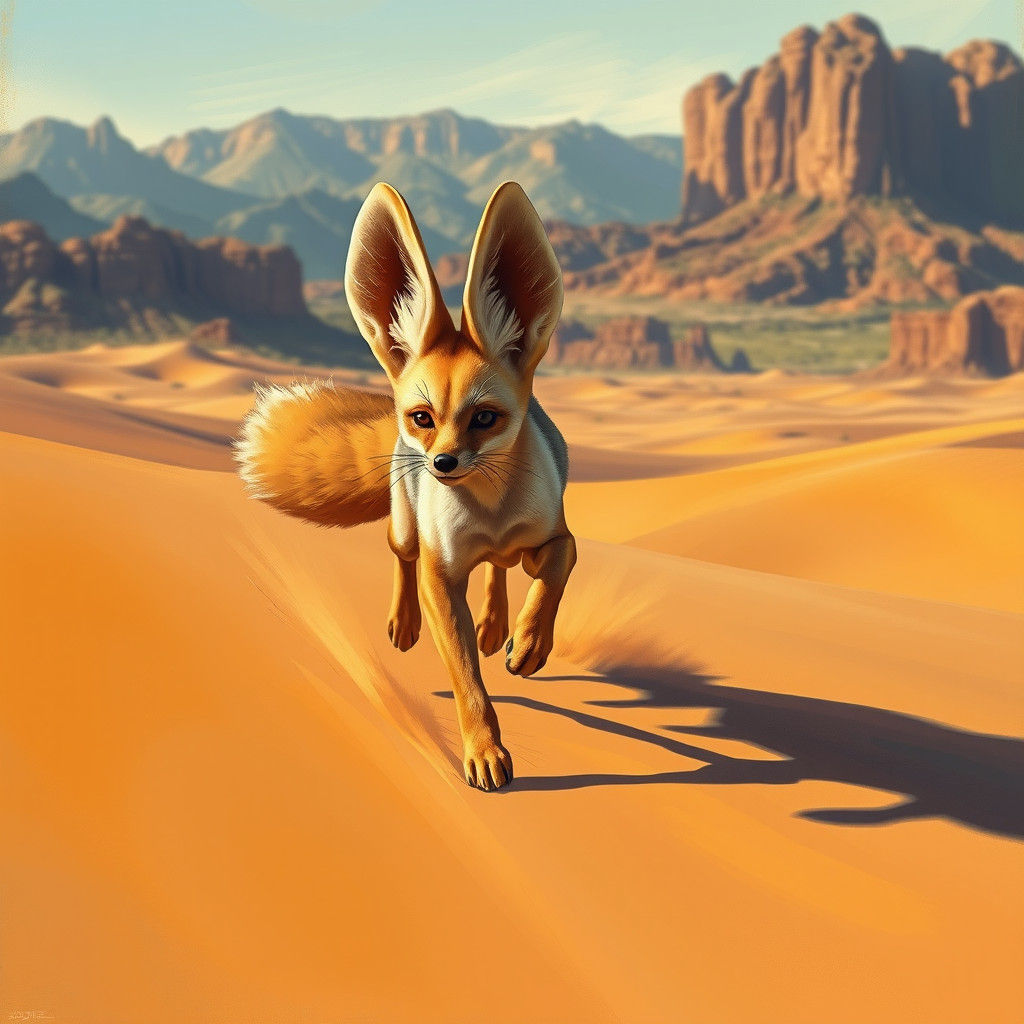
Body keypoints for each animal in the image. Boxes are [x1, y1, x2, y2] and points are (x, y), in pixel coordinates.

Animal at [236, 181, 576, 791]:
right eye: (423, 417)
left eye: (484, 418)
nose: (443, 463)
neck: (490, 514)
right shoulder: (442, 575)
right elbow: (467, 680)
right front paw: (483, 751)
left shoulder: (553, 534)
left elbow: (557, 569)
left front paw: (530, 644)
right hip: (404, 525)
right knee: (401, 553)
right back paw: (405, 622)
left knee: (501, 568)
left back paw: (497, 626)